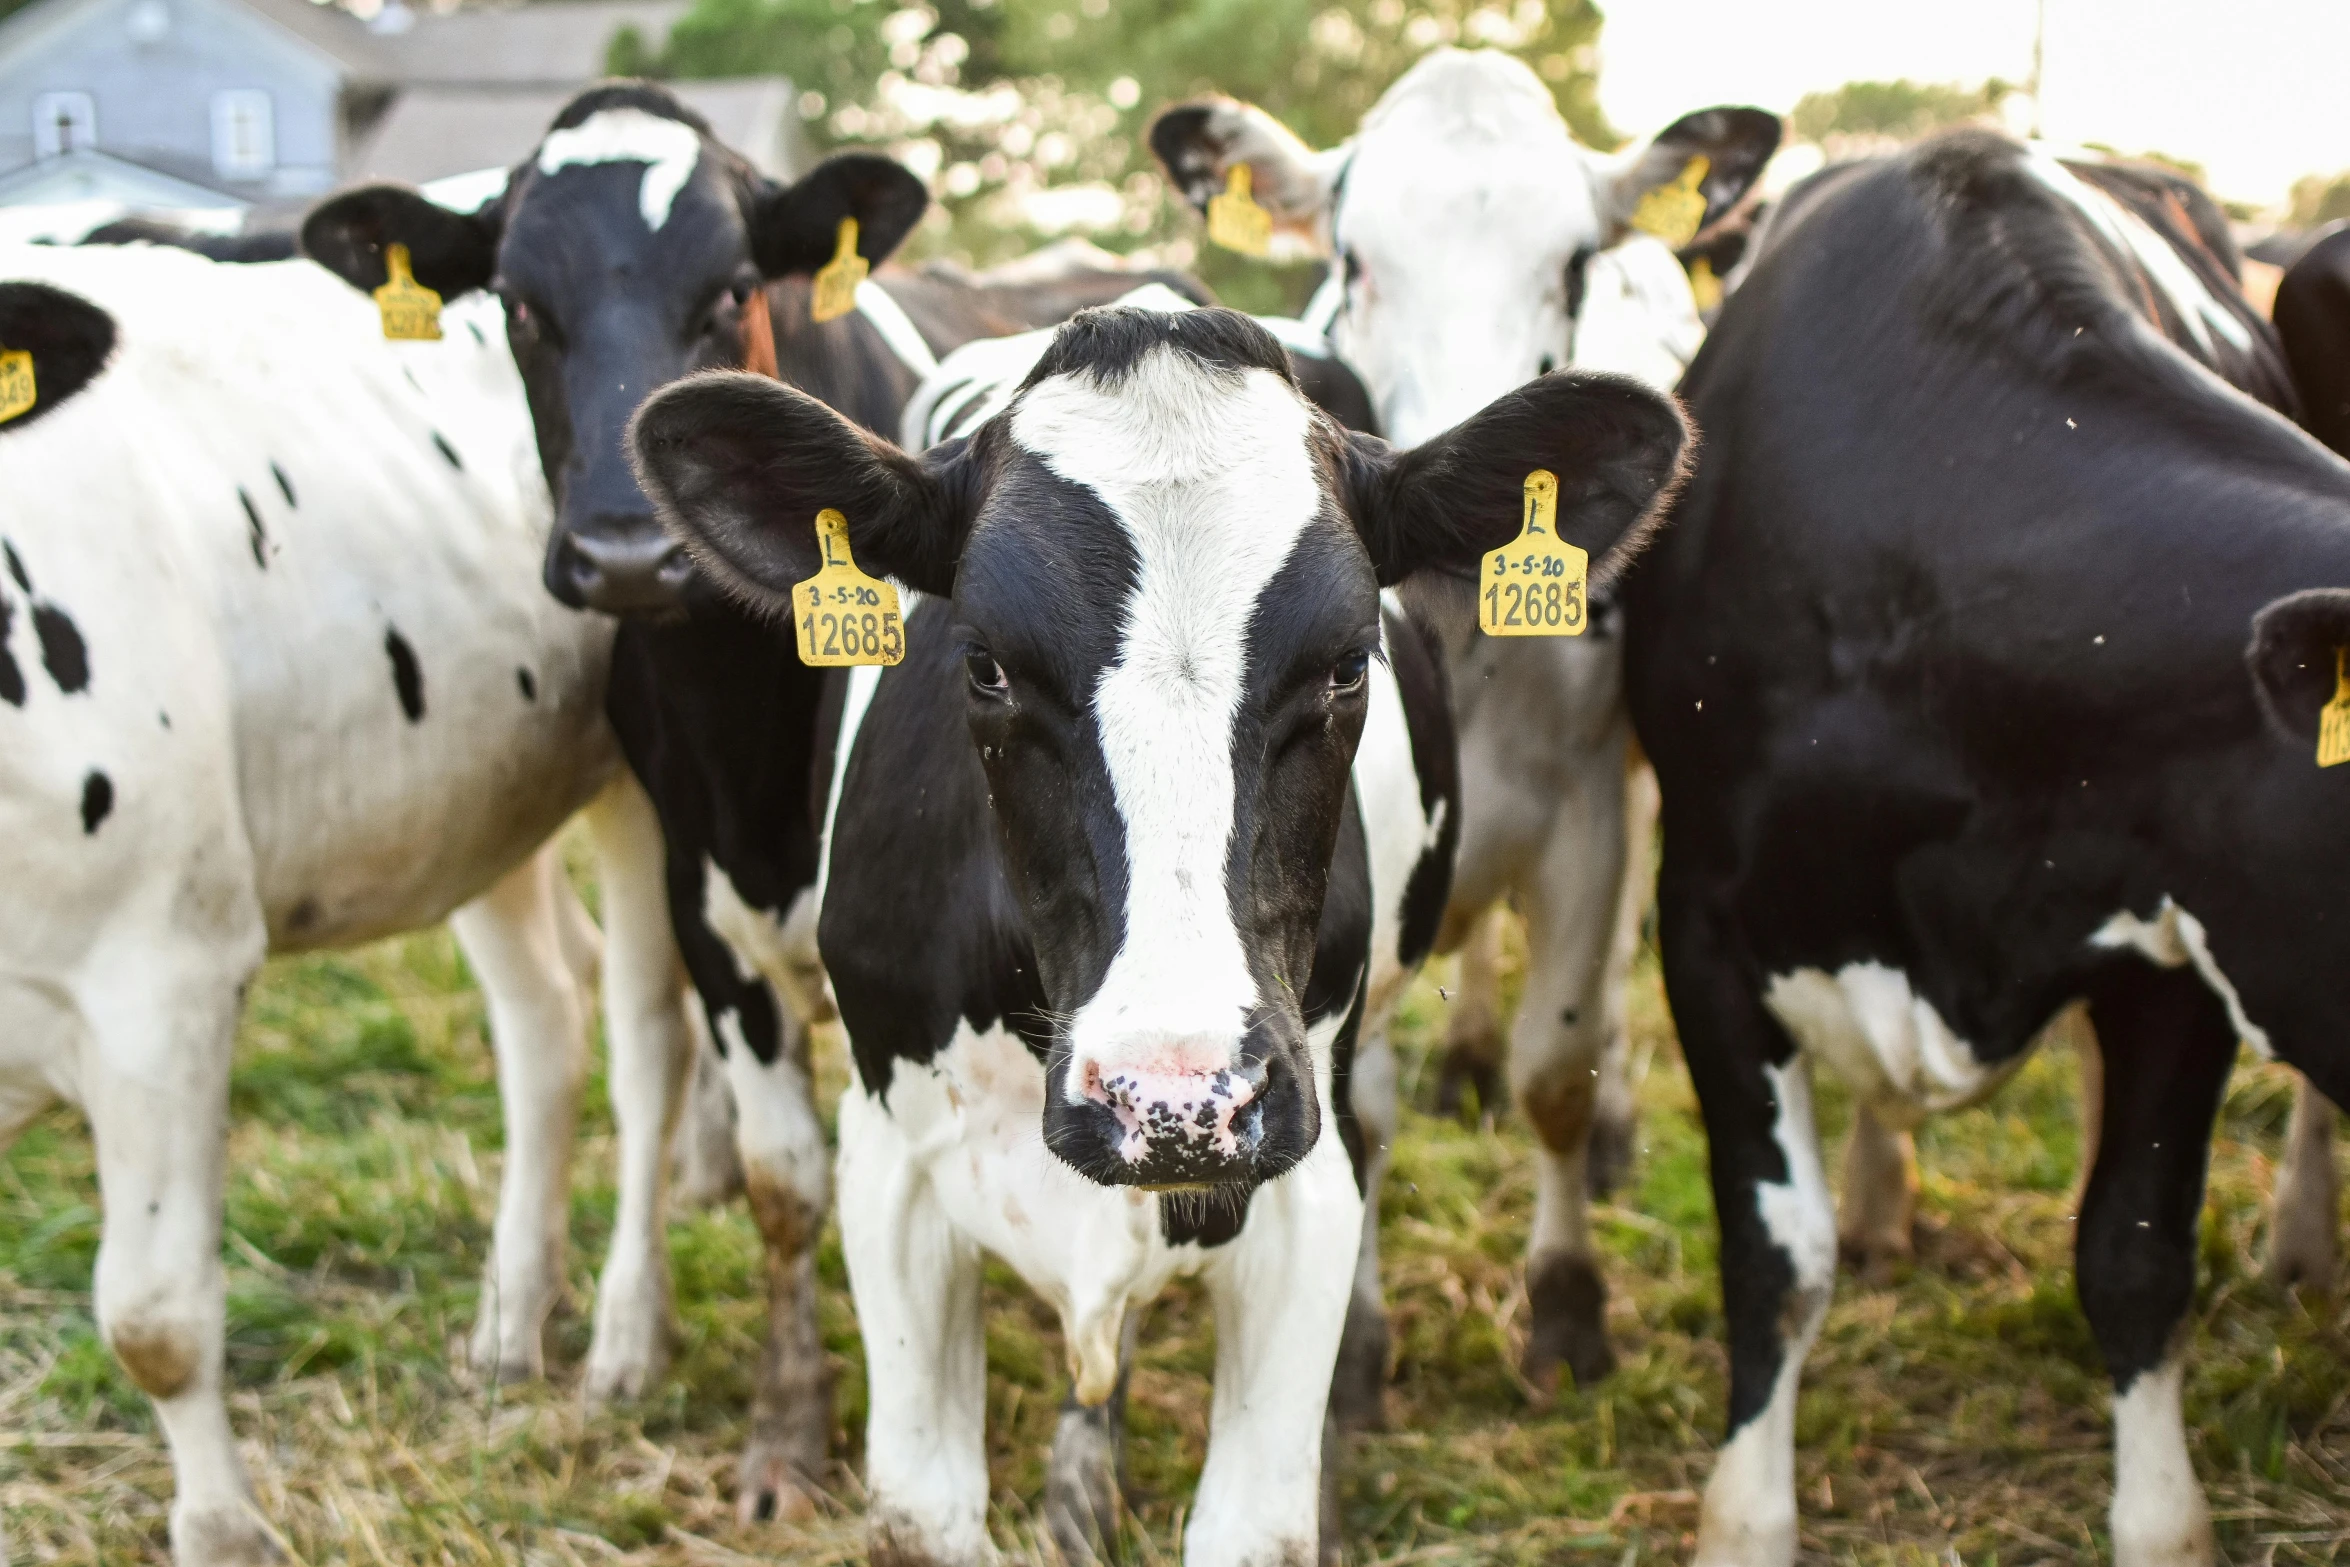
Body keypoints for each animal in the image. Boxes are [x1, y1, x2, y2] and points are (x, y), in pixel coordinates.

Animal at [0, 245, 686, 1567]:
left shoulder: (165, 975)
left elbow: (155, 1316)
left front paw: (221, 1526)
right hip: (470, 799)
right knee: (545, 1018)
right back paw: (513, 1311)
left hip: (643, 783)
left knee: (646, 1041)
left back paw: (626, 1332)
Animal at [303, 82, 1269, 1522]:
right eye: (518, 307)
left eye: (732, 286)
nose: (626, 550)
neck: (746, 706)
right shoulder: (702, 899)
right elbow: (781, 1186)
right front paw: (784, 1427)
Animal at [625, 303, 1691, 1567]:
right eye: (982, 663)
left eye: (1348, 663)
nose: (1173, 1098)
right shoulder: (889, 1165)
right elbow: (921, 1510)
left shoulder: (1297, 1187)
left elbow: (1259, 1519)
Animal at [1146, 39, 1767, 1409]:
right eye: (1353, 258)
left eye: (1573, 263)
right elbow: (1359, 1111)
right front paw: (1356, 1349)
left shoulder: (1590, 807)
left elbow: (1558, 1067)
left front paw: (1567, 1302)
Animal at [1616, 128, 2350, 1559]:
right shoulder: (1705, 925)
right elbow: (1775, 1256)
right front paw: (1744, 1519)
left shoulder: (2181, 937)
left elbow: (2132, 1248)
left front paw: (2162, 1522)